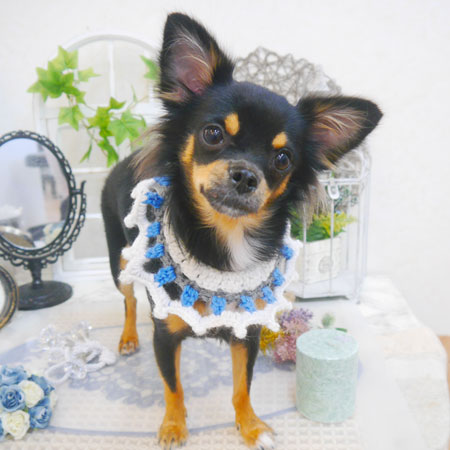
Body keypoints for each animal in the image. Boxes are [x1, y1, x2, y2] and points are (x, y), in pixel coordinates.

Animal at [101, 12, 382, 449]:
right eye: (213, 134)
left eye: (283, 159)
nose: (247, 175)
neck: (228, 238)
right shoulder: (165, 335)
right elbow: (173, 386)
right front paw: (174, 426)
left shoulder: (246, 333)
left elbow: (241, 387)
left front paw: (250, 427)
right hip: (119, 261)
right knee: (129, 300)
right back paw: (128, 337)